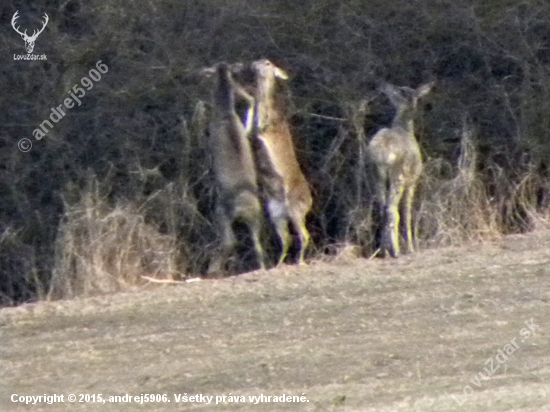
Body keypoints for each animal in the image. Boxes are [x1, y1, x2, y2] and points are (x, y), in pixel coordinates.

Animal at [207, 63, 268, 274]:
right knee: (258, 247)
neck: (226, 115)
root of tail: (243, 208)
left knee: (229, 241)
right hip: (257, 219)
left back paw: (212, 270)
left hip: (221, 213)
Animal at [251, 59, 314, 266]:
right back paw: (278, 264)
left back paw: (299, 262)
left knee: (304, 235)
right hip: (275, 211)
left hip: (295, 209)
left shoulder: (264, 130)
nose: (255, 63)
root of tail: (310, 202)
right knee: (286, 237)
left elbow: (254, 125)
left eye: (267, 63)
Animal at [366, 81, 436, 258]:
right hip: (399, 176)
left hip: (375, 176)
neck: (405, 129)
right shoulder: (413, 181)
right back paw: (396, 251)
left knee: (383, 208)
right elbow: (407, 213)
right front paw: (411, 247)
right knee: (391, 209)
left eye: (399, 90)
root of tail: (381, 155)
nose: (383, 85)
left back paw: (385, 251)